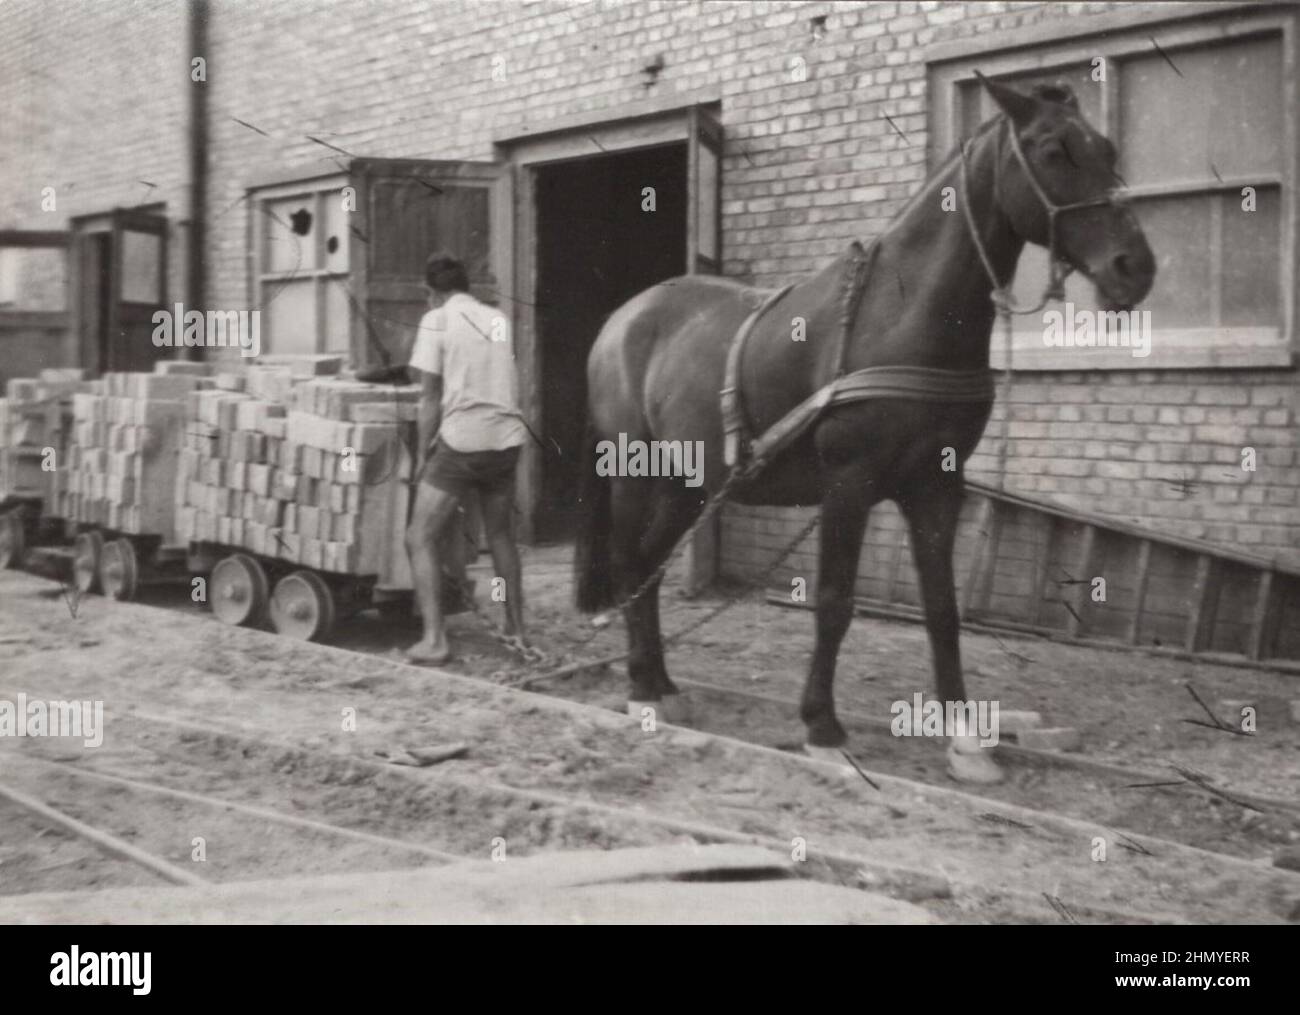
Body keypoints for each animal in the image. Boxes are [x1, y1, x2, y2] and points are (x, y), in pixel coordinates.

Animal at [574, 75, 1154, 784]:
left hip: (687, 483)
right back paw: (641, 689)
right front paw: (822, 728)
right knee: (633, 561)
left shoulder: (937, 487)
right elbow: (833, 602)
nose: (1135, 268)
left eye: (1107, 147)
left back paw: (662, 683)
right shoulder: (848, 484)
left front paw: (964, 737)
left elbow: (943, 609)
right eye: (1052, 150)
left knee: (652, 563)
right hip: (635, 472)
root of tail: (620, 320)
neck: (903, 313)